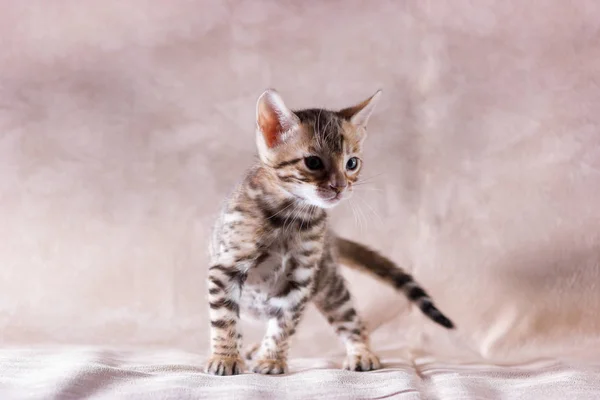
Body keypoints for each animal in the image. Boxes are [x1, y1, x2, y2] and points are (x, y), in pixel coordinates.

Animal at [204, 89, 452, 376]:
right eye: (313, 162)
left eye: (352, 163)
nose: (340, 186)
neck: (292, 219)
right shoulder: (226, 267)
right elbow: (225, 320)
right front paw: (226, 357)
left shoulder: (300, 279)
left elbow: (283, 324)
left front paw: (271, 360)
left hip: (330, 286)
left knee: (354, 323)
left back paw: (361, 353)